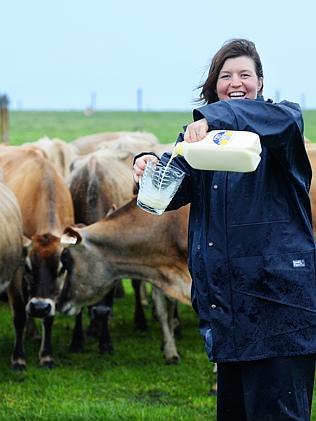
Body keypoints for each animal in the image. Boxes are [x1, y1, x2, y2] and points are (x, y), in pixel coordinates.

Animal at [0, 147, 74, 368]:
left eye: (62, 268)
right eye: (27, 267)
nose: (39, 307)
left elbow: (49, 317)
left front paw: (46, 355)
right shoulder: (14, 272)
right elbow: (19, 314)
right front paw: (18, 358)